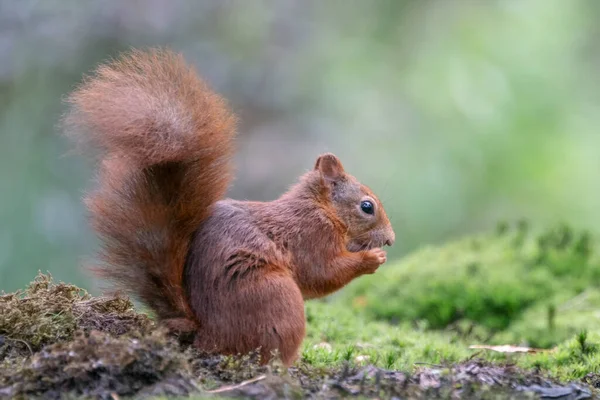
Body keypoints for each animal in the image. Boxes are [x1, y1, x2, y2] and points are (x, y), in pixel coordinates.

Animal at [63, 48, 396, 368]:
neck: (322, 209)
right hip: (276, 299)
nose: (391, 239)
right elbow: (323, 273)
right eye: (367, 206)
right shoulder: (311, 235)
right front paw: (372, 259)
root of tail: (204, 331)